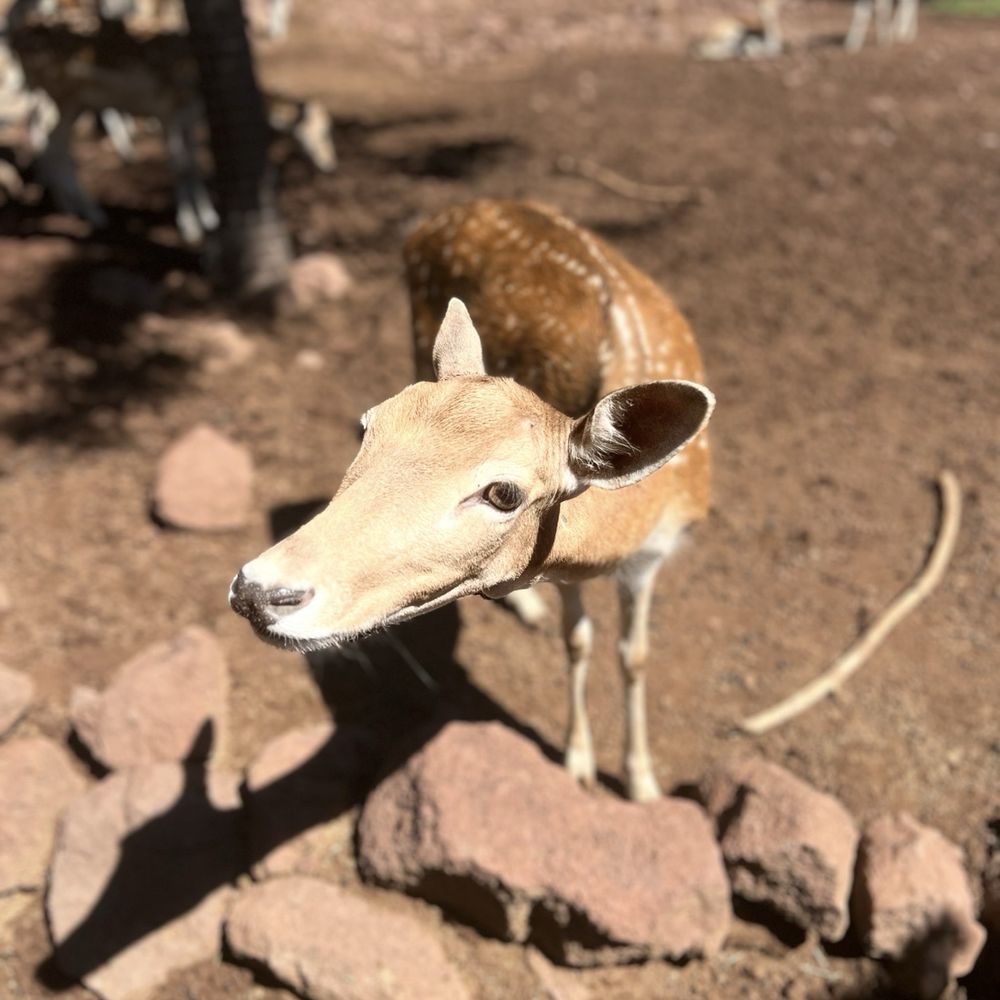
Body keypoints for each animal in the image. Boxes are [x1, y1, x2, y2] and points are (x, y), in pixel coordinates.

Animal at [229, 200, 715, 802]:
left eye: (504, 494)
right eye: (369, 425)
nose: (256, 591)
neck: (631, 527)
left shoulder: (654, 554)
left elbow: (634, 655)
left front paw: (642, 783)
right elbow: (577, 638)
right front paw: (578, 764)